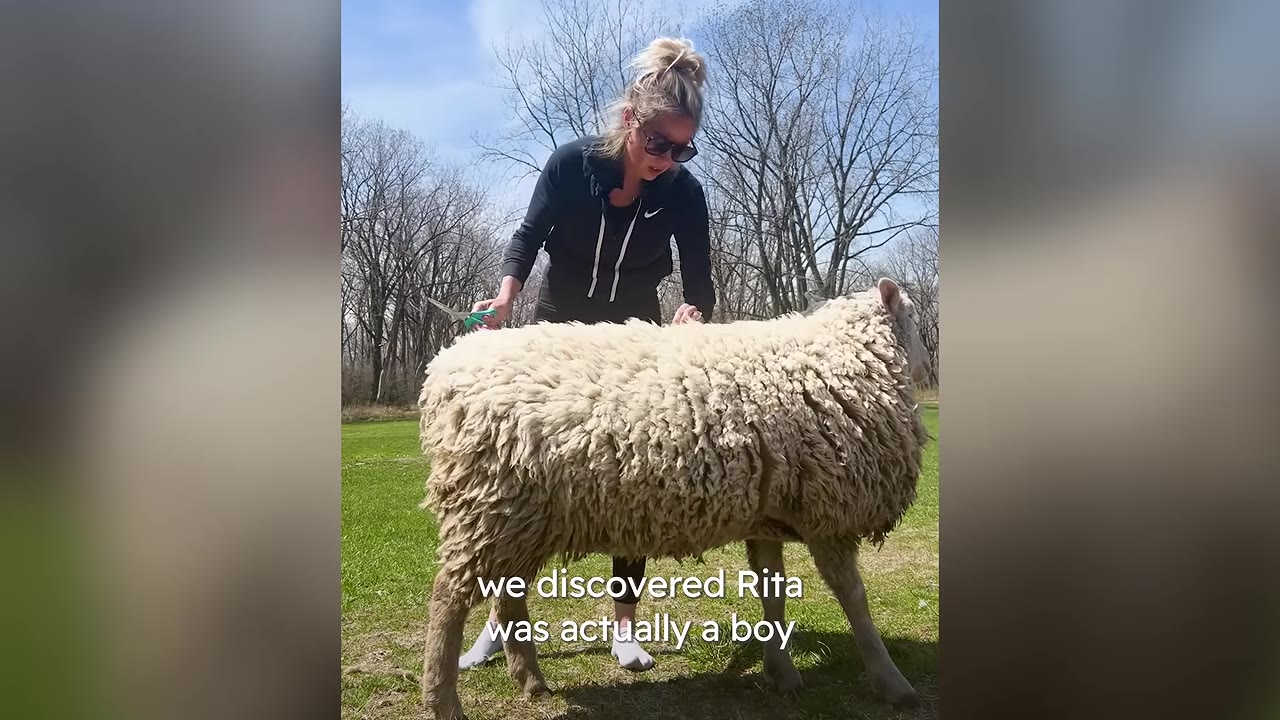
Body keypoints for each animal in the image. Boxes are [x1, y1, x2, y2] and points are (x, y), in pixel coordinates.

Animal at [415, 278, 932, 720]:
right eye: (914, 318)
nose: (929, 364)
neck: (843, 362)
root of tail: (446, 367)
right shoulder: (828, 511)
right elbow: (854, 599)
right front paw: (893, 683)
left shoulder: (768, 514)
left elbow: (773, 594)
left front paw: (781, 672)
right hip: (488, 505)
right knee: (448, 598)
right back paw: (443, 700)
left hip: (524, 515)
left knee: (507, 594)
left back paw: (531, 680)